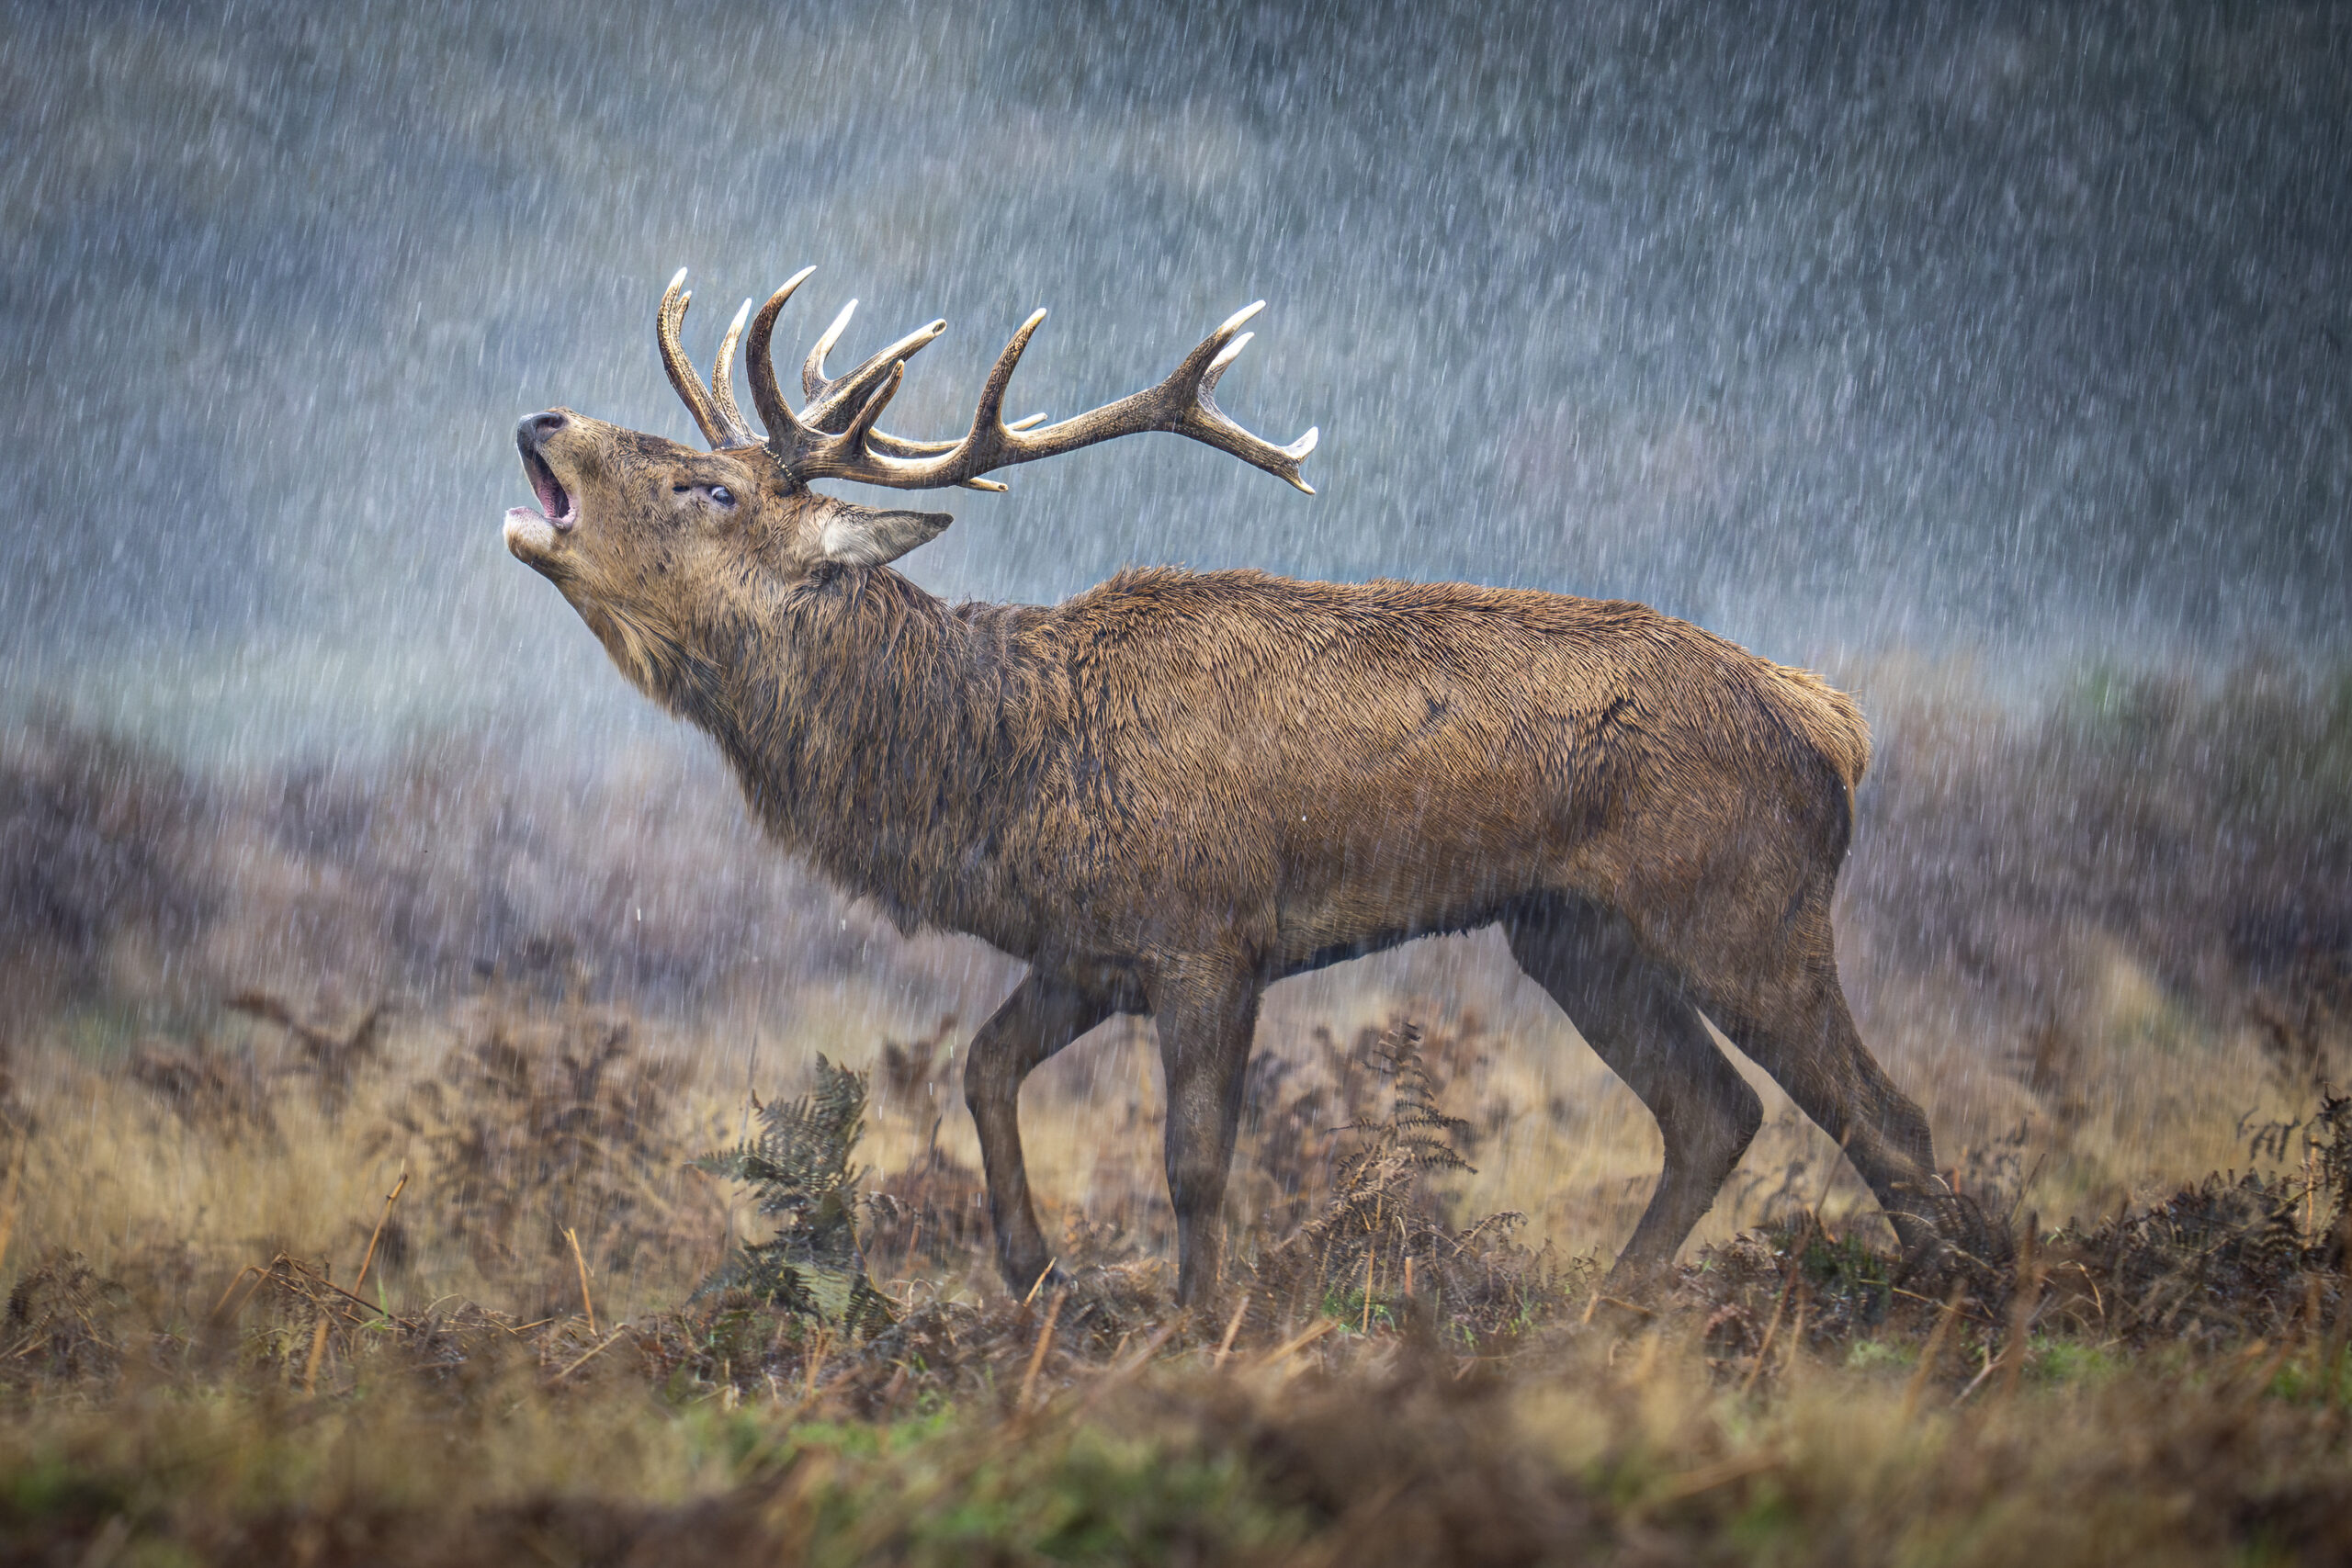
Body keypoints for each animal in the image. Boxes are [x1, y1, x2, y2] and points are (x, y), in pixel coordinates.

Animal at [504, 265, 1968, 1307]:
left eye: (711, 488)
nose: (542, 416)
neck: (1000, 773)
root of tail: (1829, 718)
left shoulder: (1211, 931)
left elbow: (1195, 1159)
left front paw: (1201, 1324)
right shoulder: (1085, 949)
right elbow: (980, 1069)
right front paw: (1040, 1279)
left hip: (1742, 900)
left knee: (1885, 1116)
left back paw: (1956, 1303)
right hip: (1570, 931)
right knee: (1714, 1110)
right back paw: (1603, 1314)